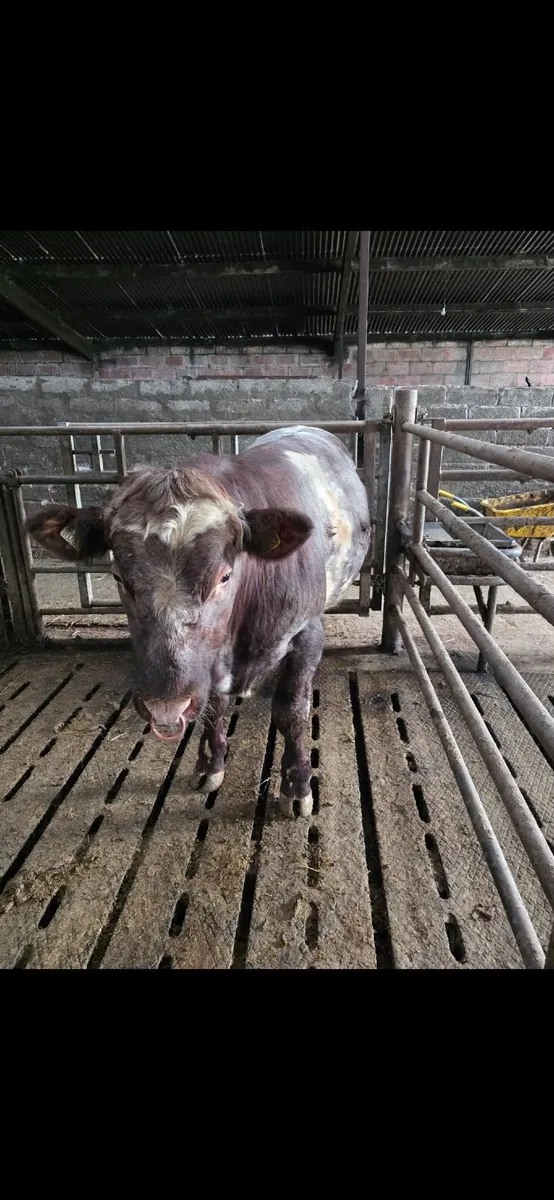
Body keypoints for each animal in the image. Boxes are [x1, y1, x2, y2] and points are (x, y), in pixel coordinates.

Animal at [26, 426, 370, 817]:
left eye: (224, 576)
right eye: (118, 577)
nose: (165, 706)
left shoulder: (306, 633)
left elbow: (292, 712)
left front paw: (297, 787)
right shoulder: (208, 664)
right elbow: (213, 707)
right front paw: (210, 765)